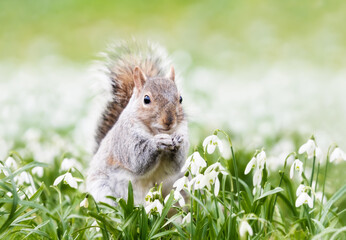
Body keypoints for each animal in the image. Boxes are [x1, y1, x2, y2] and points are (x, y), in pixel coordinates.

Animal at [86, 40, 189, 204]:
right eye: (146, 99)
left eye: (180, 98)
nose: (169, 121)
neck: (154, 131)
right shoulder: (125, 140)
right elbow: (138, 160)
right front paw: (158, 142)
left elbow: (174, 165)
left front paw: (178, 140)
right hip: (103, 192)